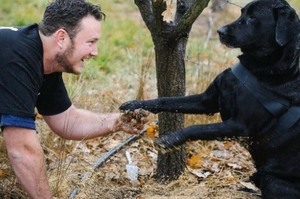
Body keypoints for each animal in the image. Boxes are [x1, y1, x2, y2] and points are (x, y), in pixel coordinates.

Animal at [120, 0, 300, 198]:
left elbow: (196, 128)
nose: (220, 31)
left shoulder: (239, 125)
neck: (258, 67)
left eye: (253, 17)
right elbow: (166, 100)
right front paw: (136, 104)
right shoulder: (206, 101)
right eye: (242, 12)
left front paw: (171, 139)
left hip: (274, 181)